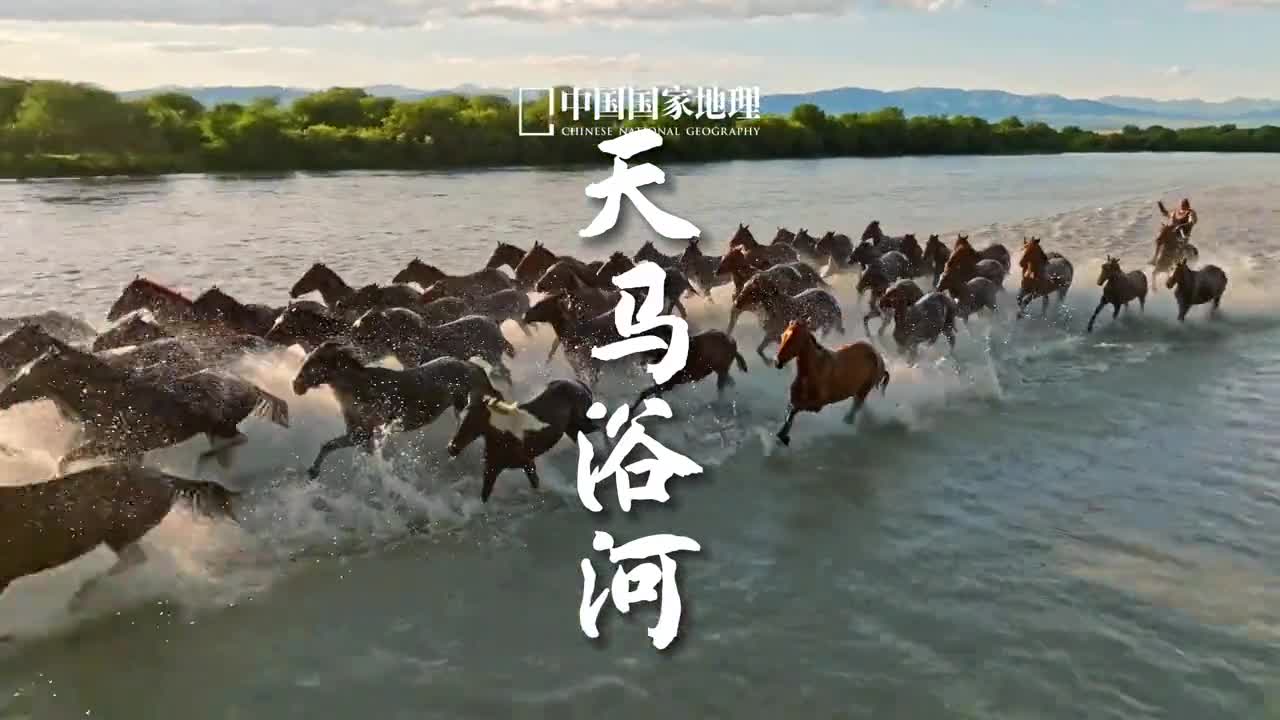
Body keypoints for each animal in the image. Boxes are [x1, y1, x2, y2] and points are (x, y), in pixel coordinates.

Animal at [0, 344, 289, 472]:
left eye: (27, 374)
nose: (3, 396)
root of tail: (251, 386)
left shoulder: (113, 444)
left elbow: (64, 460)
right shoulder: (123, 449)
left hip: (222, 426)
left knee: (238, 440)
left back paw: (204, 461)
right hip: (217, 429)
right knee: (232, 445)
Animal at [1, 464, 237, 607]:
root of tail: (168, 480)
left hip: (120, 530)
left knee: (135, 558)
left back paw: (81, 596)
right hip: (122, 533)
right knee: (136, 557)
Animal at [292, 341, 501, 478]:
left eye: (314, 364)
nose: (296, 385)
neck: (360, 389)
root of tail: (476, 368)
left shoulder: (365, 433)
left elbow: (333, 445)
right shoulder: (357, 433)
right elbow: (329, 445)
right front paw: (313, 471)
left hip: (468, 410)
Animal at [447, 379, 599, 503]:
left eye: (474, 422)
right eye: (459, 419)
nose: (452, 448)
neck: (504, 435)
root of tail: (577, 383)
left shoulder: (528, 463)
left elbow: (536, 485)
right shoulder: (492, 470)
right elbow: (484, 496)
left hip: (583, 424)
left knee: (599, 426)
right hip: (572, 429)